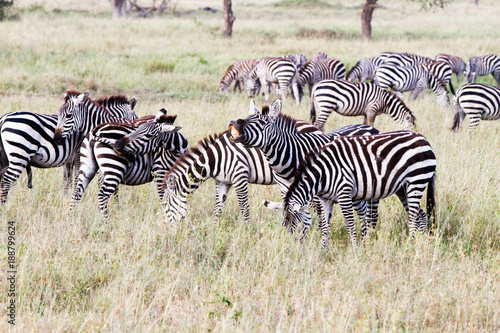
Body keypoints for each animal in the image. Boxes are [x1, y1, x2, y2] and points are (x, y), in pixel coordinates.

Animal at [0, 92, 137, 204]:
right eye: (135, 119)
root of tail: (3, 119)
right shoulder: (79, 156)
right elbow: (80, 179)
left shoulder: (69, 159)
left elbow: (67, 181)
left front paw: (65, 198)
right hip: (20, 155)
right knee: (6, 182)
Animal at [160, 113, 318, 224]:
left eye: (167, 205)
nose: (167, 229)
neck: (216, 158)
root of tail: (315, 128)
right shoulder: (222, 182)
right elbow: (218, 209)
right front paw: (215, 230)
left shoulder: (239, 176)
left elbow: (244, 208)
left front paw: (248, 230)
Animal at [229, 98, 380, 239]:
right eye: (247, 117)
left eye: (261, 122)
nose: (234, 123)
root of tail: (371, 128)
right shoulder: (287, 191)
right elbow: (299, 216)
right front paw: (298, 239)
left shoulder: (316, 190)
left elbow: (319, 218)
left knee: (370, 213)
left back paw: (369, 236)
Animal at [284, 131, 436, 248]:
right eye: (284, 226)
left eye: (294, 223)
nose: (292, 247)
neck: (323, 174)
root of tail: (424, 139)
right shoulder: (326, 199)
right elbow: (325, 226)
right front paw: (323, 250)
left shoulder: (344, 193)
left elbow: (350, 225)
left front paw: (356, 249)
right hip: (403, 188)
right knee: (421, 216)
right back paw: (422, 243)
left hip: (416, 181)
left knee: (413, 217)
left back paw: (410, 243)